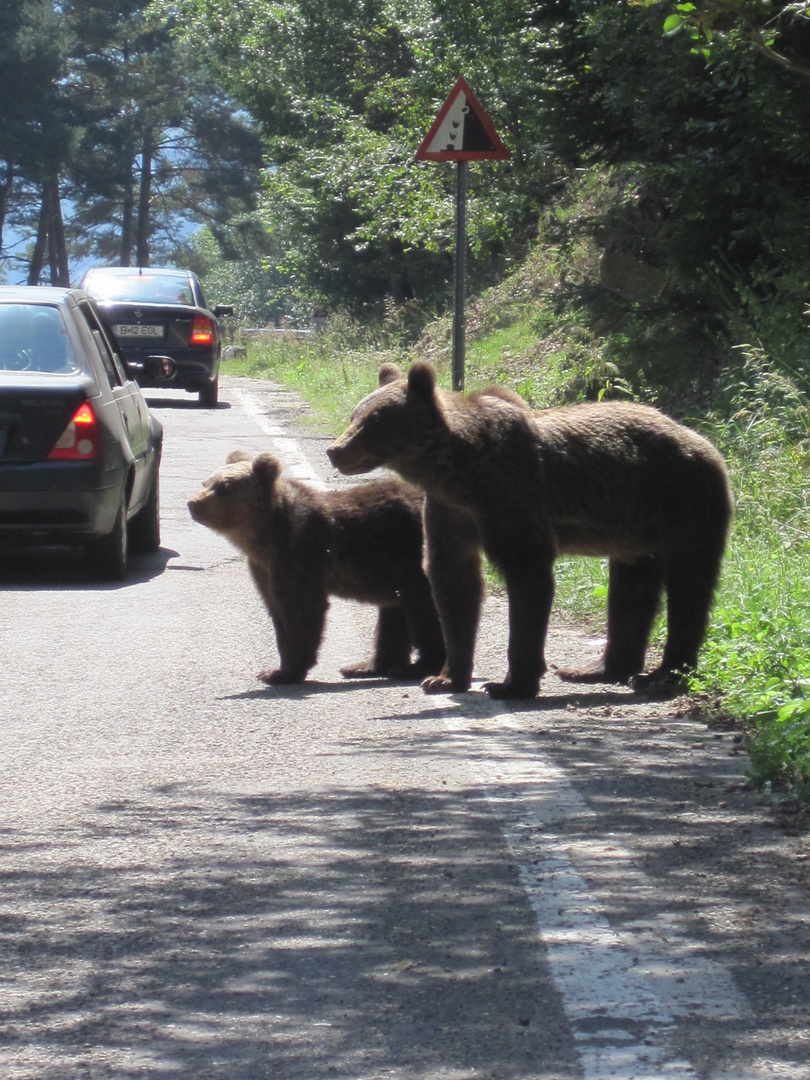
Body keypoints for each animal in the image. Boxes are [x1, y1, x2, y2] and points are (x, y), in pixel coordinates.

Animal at [187, 451, 447, 686]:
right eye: (206, 482)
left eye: (225, 486)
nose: (193, 503)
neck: (267, 536)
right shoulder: (264, 567)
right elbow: (276, 610)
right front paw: (276, 668)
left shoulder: (300, 554)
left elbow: (302, 609)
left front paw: (284, 672)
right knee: (394, 612)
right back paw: (367, 666)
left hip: (412, 556)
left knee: (424, 609)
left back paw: (418, 666)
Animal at [326, 362, 734, 699]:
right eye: (355, 414)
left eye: (374, 420)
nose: (335, 449)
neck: (457, 470)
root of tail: (705, 443)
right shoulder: (450, 511)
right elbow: (453, 581)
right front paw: (445, 677)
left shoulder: (510, 499)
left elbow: (527, 575)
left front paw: (510, 683)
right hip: (633, 528)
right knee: (630, 588)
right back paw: (597, 668)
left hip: (685, 501)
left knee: (688, 584)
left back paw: (662, 674)